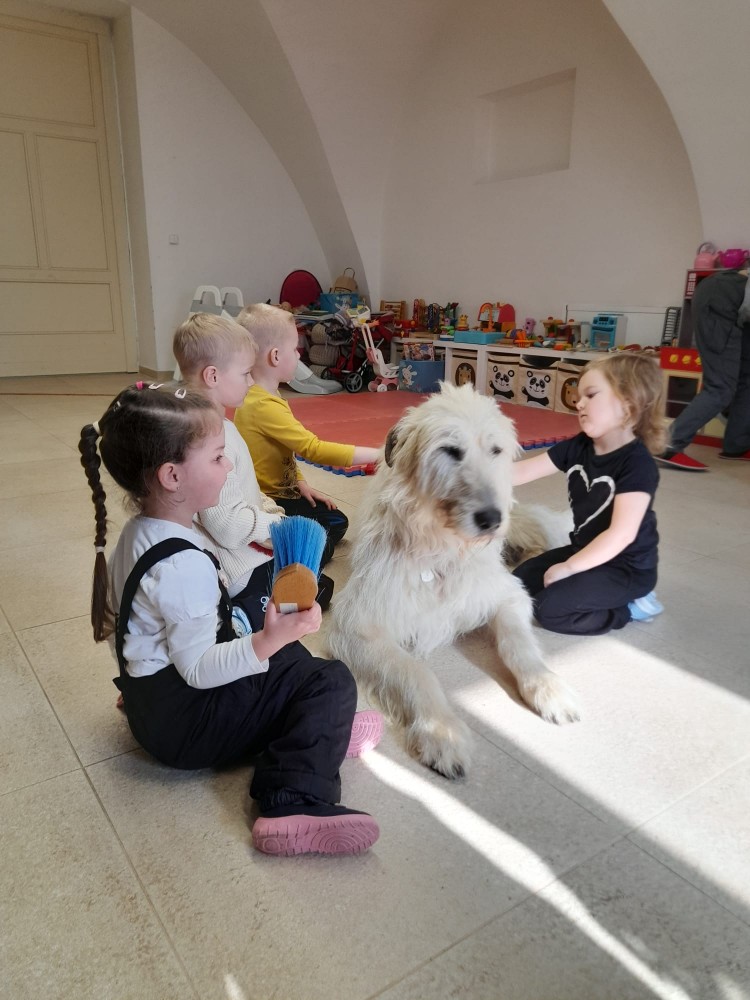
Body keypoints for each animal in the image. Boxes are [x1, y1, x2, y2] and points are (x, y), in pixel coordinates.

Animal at [329, 382, 580, 779]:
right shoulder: (360, 626)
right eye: (449, 450)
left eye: (495, 450)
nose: (491, 519)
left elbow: (518, 643)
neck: (443, 548)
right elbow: (416, 671)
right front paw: (442, 732)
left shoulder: (506, 595)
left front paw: (547, 685)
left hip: (528, 525)